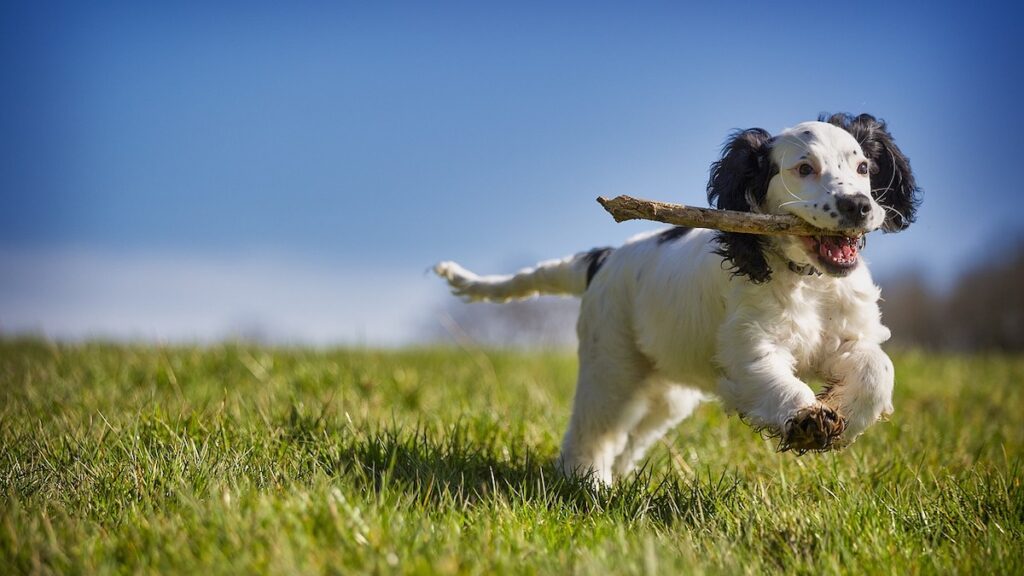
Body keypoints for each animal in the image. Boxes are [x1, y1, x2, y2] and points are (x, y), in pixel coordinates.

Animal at [432, 111, 921, 479]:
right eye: (804, 169)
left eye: (863, 168)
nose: (859, 206)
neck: (808, 280)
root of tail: (603, 258)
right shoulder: (749, 347)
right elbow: (774, 379)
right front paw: (807, 419)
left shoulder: (850, 336)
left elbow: (878, 370)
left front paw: (842, 415)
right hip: (611, 365)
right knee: (592, 431)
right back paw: (587, 483)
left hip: (666, 392)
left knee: (631, 437)